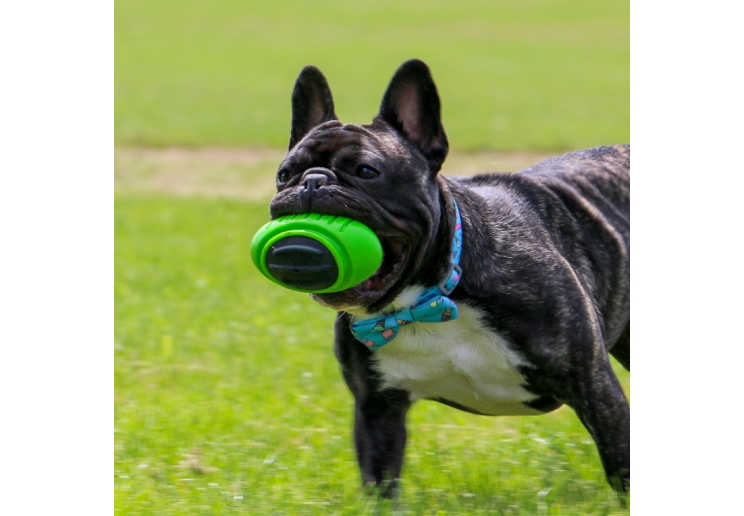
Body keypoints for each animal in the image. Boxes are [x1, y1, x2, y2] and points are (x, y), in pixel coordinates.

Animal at [268, 59, 628, 496]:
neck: (426, 300)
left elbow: (621, 464)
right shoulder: (377, 407)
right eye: (284, 174)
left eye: (368, 171)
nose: (313, 181)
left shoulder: (593, 387)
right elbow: (380, 481)